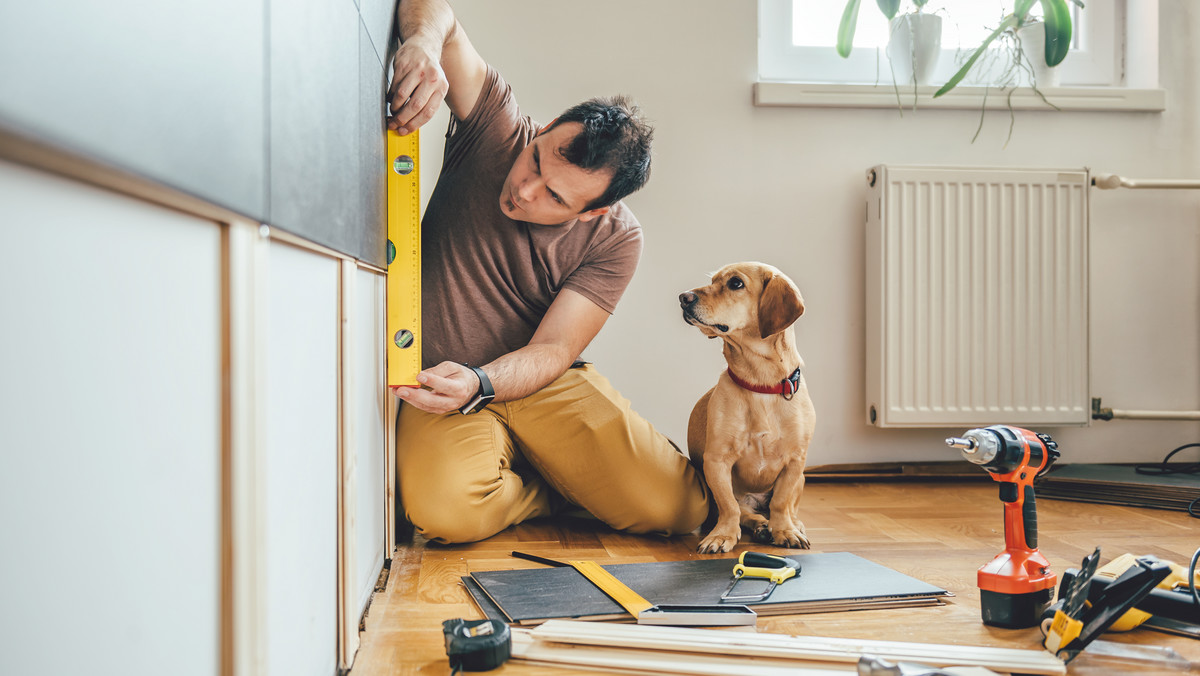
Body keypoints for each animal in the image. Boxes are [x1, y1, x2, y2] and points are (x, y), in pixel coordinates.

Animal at [676, 261, 816, 552]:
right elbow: (730, 507)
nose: (683, 297)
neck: (761, 384)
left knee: (786, 508)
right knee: (746, 512)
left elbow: (781, 502)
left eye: (736, 283)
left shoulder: (795, 462)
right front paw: (722, 536)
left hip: (801, 479)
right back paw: (761, 526)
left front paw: (785, 530)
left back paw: (789, 525)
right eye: (713, 281)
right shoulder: (716, 461)